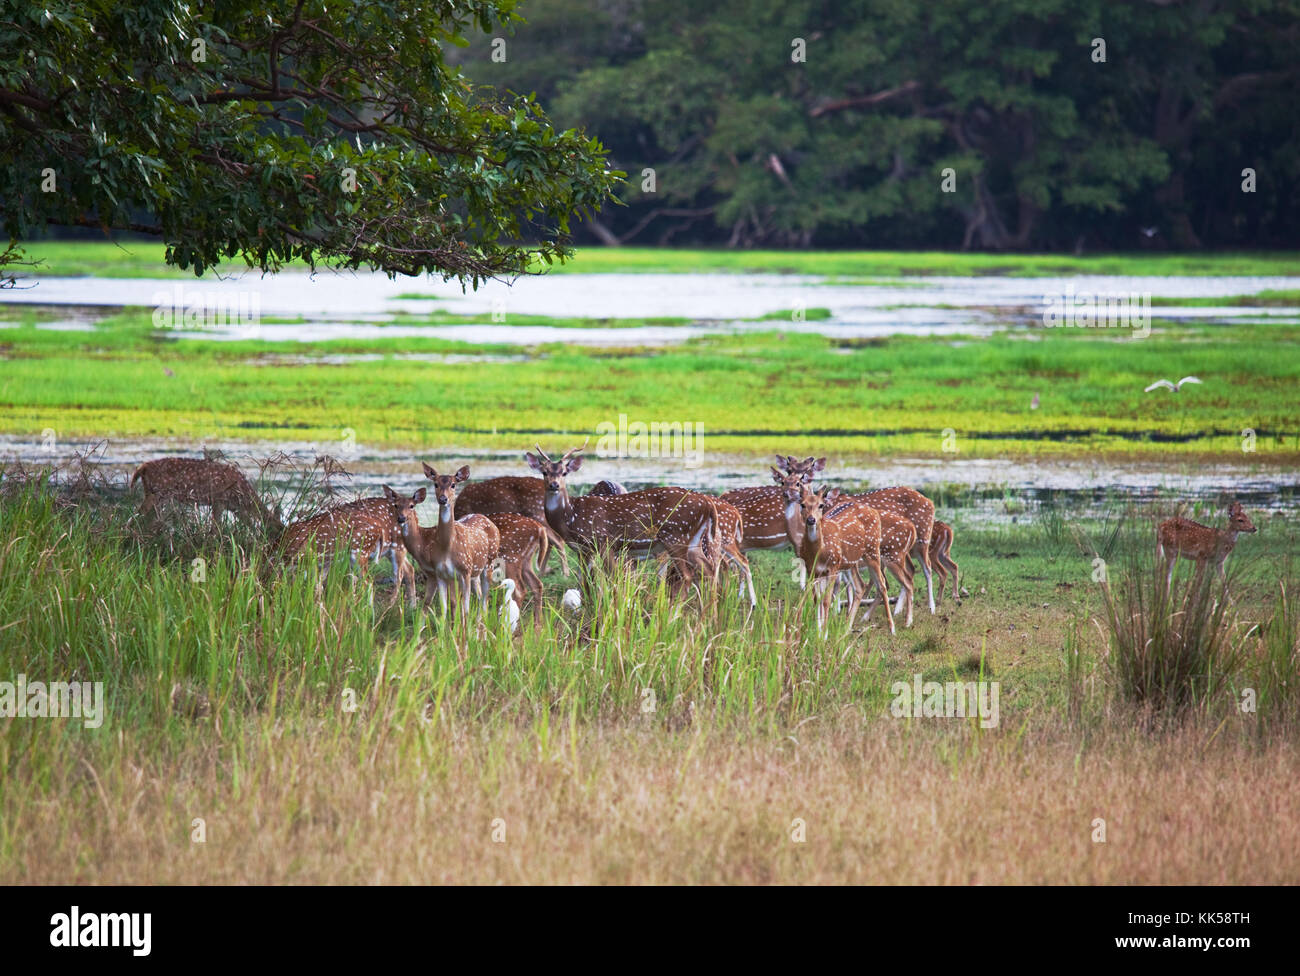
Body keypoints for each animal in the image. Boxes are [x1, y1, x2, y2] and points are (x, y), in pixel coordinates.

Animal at [130, 460, 278, 535]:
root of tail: (142, 467)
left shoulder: (234, 507)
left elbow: (251, 525)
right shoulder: (219, 500)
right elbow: (215, 528)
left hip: (157, 496)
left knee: (148, 519)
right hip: (156, 493)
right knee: (136, 516)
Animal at [271, 499, 413, 608]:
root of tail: (379, 529)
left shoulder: (308, 558)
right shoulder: (323, 563)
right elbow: (318, 586)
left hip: (360, 551)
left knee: (370, 582)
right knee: (408, 569)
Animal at [379, 462, 501, 613]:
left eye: (453, 484)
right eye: (435, 484)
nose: (443, 499)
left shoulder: (455, 573)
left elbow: (456, 605)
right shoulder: (439, 574)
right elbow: (442, 605)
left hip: (488, 562)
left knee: (484, 600)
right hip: (476, 571)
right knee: (479, 597)